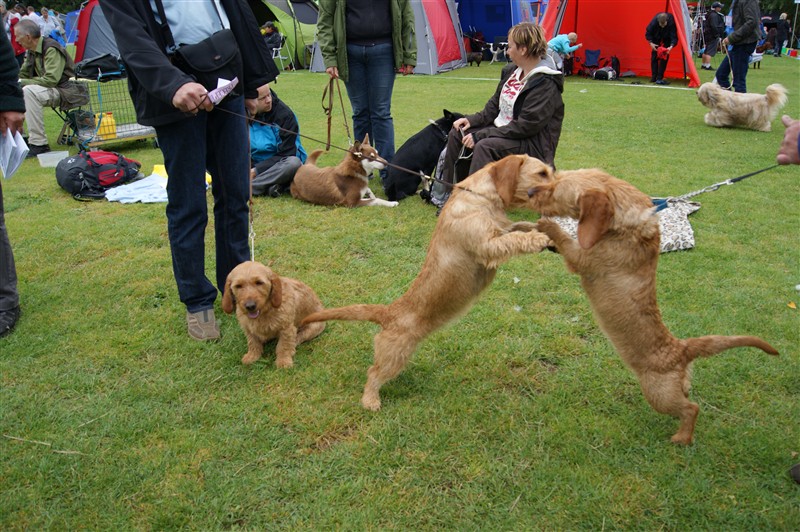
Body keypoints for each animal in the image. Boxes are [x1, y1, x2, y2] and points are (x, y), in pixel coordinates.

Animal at [302, 155, 555, 411]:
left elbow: (518, 226)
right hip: (395, 354)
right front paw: (541, 238)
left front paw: (541, 228)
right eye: (542, 173)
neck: (479, 198)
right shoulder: (487, 245)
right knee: (373, 372)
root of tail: (388, 312)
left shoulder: (500, 230)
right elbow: (515, 238)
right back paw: (371, 400)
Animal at [527, 169, 778, 445]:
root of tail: (681, 349)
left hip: (658, 394)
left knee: (692, 409)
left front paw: (547, 225)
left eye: (556, 189)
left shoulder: (581, 258)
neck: (625, 226)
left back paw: (682, 438)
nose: (528, 191)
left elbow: (564, 237)